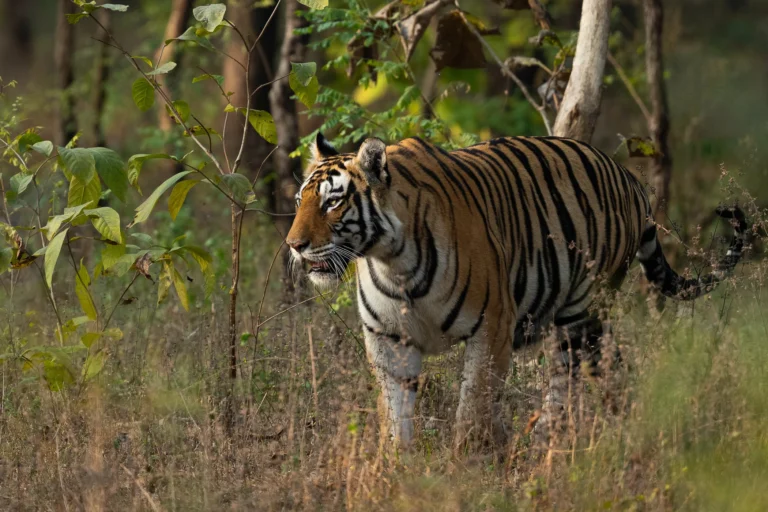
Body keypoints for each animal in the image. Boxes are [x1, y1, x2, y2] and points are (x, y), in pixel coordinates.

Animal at [286, 133, 746, 447]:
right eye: (298, 201)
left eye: (332, 203)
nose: (294, 245)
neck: (391, 259)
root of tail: (628, 178)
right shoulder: (388, 339)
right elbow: (394, 413)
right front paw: (396, 471)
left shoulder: (491, 326)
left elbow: (472, 407)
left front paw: (465, 467)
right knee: (614, 368)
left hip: (580, 315)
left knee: (569, 382)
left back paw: (552, 444)